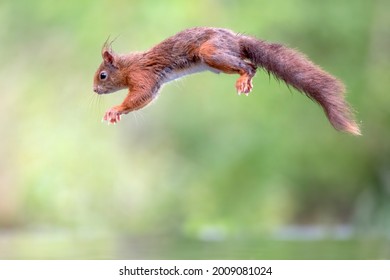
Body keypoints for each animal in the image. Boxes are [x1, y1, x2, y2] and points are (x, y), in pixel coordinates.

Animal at [93, 27, 362, 136]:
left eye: (102, 75)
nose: (94, 89)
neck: (128, 66)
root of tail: (236, 39)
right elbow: (144, 99)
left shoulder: (143, 76)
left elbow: (141, 94)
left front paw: (115, 109)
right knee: (251, 65)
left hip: (211, 52)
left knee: (249, 66)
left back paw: (244, 79)